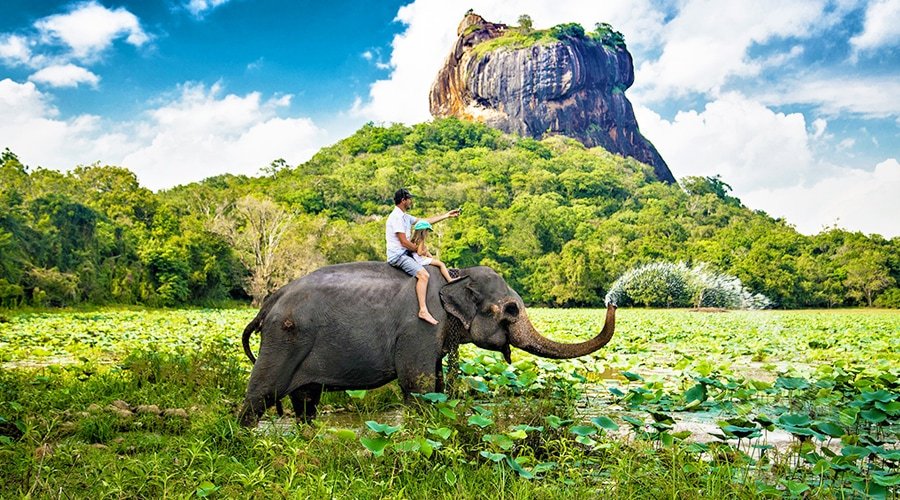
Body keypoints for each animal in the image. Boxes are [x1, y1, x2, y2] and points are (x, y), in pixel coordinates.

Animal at [236, 260, 616, 428]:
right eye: (510, 310)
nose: (612, 302)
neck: (455, 276)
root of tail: (269, 303)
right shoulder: (419, 327)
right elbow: (417, 384)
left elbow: (435, 383)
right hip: (283, 340)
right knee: (261, 394)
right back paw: (244, 439)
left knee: (306, 401)